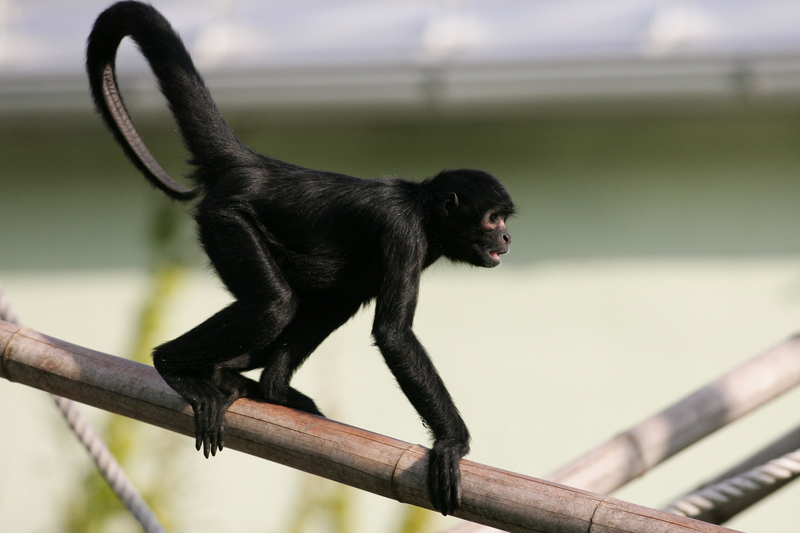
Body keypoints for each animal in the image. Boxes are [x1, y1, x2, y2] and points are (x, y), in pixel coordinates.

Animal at [86, 1, 512, 516]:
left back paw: (261, 385)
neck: (421, 210)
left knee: (329, 301)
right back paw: (174, 365)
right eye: (492, 218)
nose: (507, 236)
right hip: (227, 221)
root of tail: (257, 165)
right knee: (274, 304)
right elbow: (393, 334)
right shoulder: (402, 233)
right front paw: (452, 444)